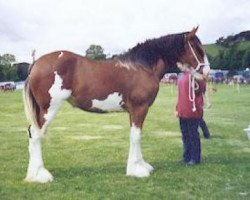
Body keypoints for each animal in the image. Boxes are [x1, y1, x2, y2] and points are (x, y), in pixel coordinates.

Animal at [23, 26, 209, 183]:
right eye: (197, 48)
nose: (206, 71)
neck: (142, 66)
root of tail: (36, 63)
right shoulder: (140, 108)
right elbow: (136, 136)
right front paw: (136, 170)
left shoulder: (133, 111)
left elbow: (135, 135)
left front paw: (140, 165)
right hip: (49, 108)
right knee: (36, 134)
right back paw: (41, 175)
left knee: (32, 133)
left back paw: (33, 174)